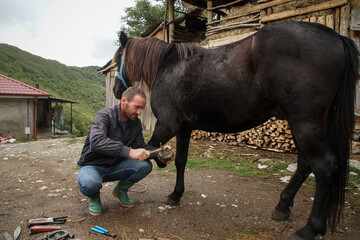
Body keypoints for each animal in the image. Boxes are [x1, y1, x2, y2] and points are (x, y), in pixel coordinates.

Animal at [111, 21, 358, 239]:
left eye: (118, 58)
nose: (115, 90)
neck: (169, 67)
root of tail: (337, 38)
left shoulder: (167, 124)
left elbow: (148, 152)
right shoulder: (185, 127)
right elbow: (181, 160)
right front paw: (176, 194)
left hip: (305, 122)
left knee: (324, 166)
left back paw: (311, 228)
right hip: (300, 123)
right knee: (306, 164)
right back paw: (283, 206)